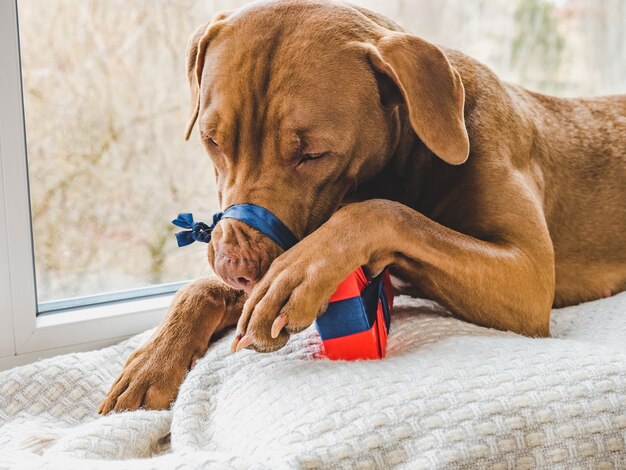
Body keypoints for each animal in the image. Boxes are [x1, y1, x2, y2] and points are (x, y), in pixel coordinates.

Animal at [100, 0, 620, 412]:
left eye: (313, 154)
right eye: (212, 141)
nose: (236, 267)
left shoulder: (527, 275)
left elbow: (383, 211)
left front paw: (298, 274)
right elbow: (200, 290)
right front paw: (151, 361)